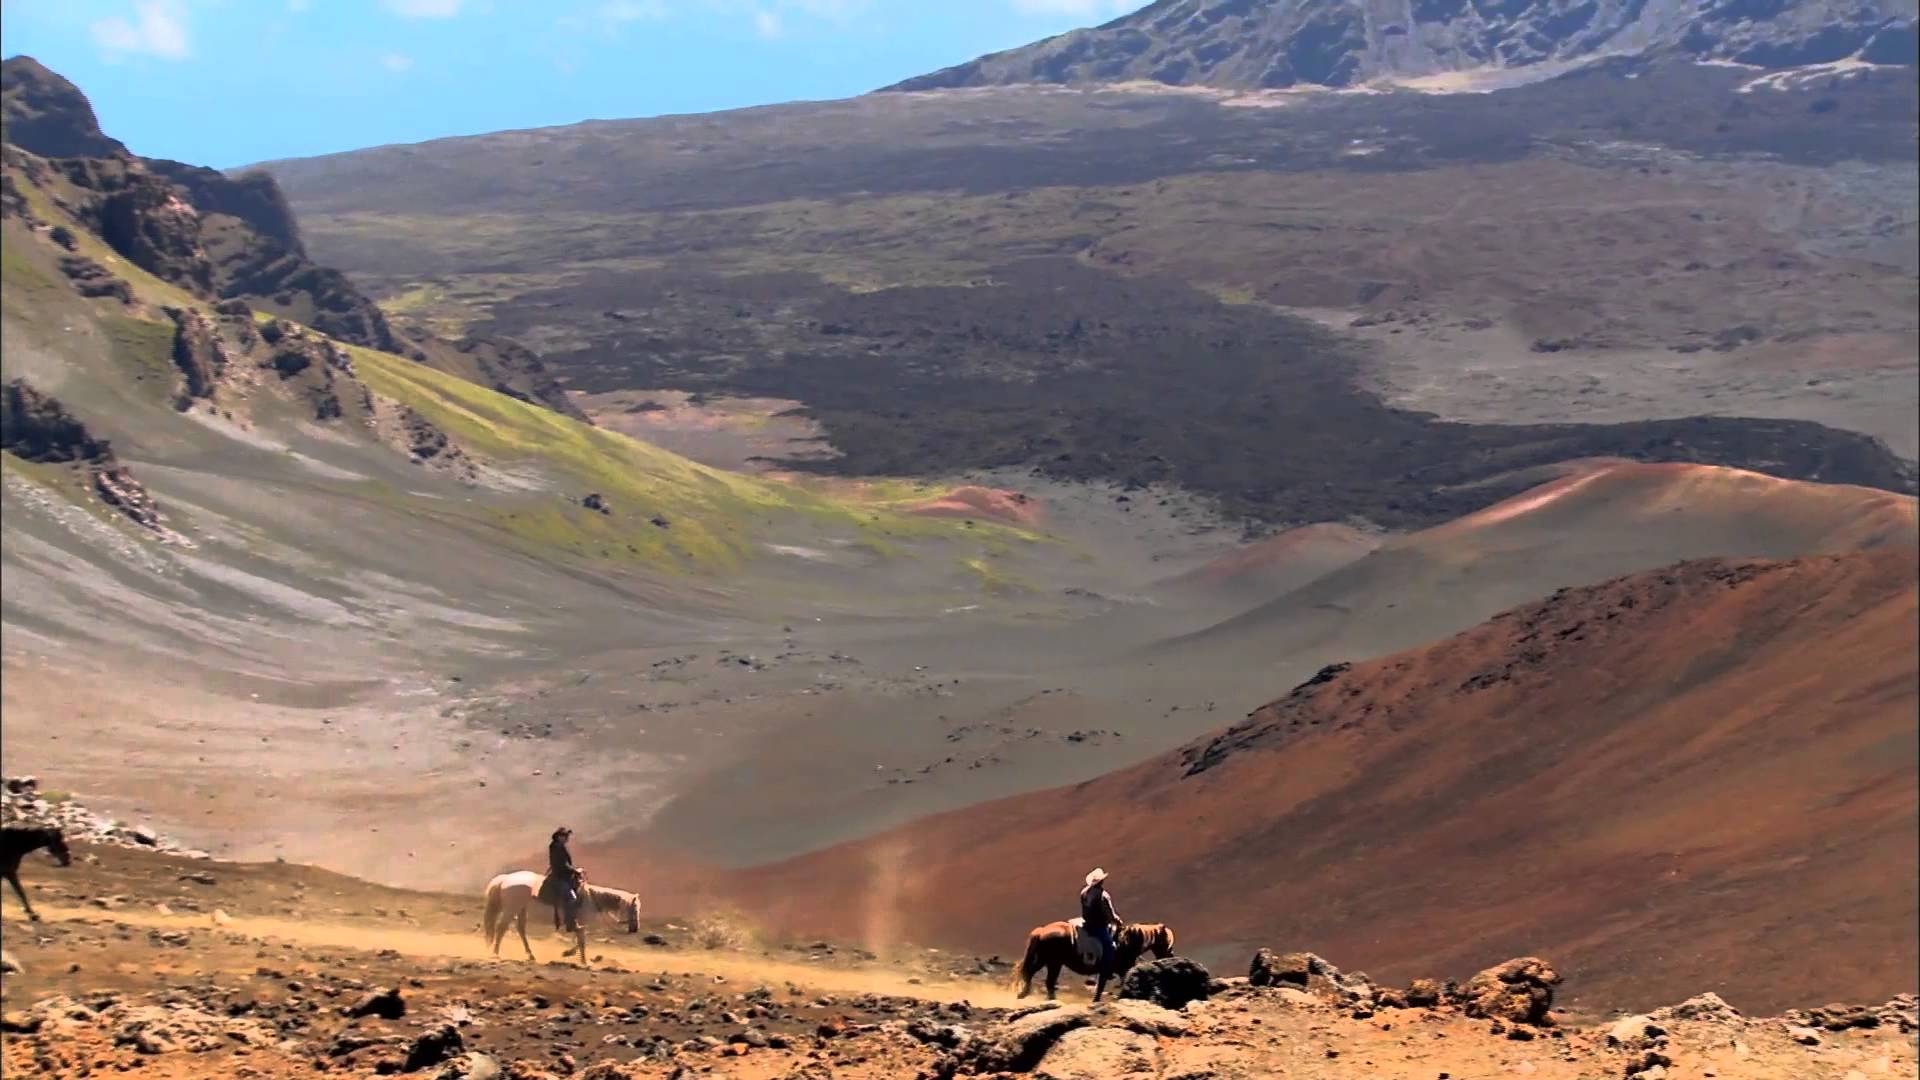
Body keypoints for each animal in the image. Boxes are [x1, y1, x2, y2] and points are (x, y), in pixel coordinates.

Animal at [478, 864, 637, 957]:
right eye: (635, 909)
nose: (635, 929)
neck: (592, 898)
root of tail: (505, 879)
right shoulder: (581, 921)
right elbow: (582, 940)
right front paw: (572, 954)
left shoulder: (578, 923)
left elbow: (580, 939)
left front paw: (573, 955)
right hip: (512, 909)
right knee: (501, 928)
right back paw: (496, 953)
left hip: (521, 909)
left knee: (520, 929)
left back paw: (530, 955)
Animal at [1013, 914, 1175, 999]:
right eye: (1166, 940)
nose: (1170, 956)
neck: (1126, 941)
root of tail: (1042, 931)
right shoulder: (1119, 970)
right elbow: (1107, 987)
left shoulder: (1113, 971)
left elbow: (1101, 988)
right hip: (1052, 962)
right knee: (1041, 978)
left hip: (1048, 961)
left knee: (1037, 977)